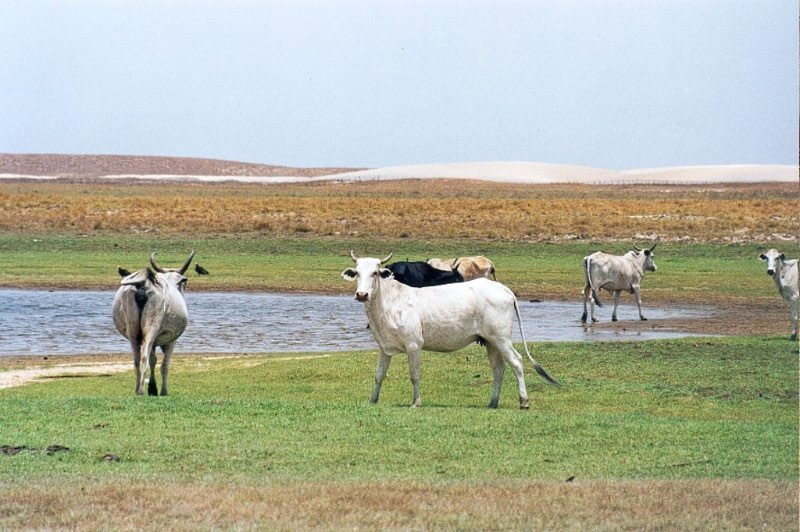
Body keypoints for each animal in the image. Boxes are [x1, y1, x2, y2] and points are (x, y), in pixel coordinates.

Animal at [340, 251, 560, 410]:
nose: (362, 294)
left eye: (375, 273)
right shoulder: (385, 348)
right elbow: (379, 375)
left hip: (502, 339)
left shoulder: (414, 345)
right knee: (498, 369)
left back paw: (524, 401)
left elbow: (414, 374)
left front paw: (416, 402)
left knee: (517, 362)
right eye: (357, 273)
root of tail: (503, 289)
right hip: (491, 342)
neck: (390, 302)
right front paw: (373, 400)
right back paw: (492, 402)